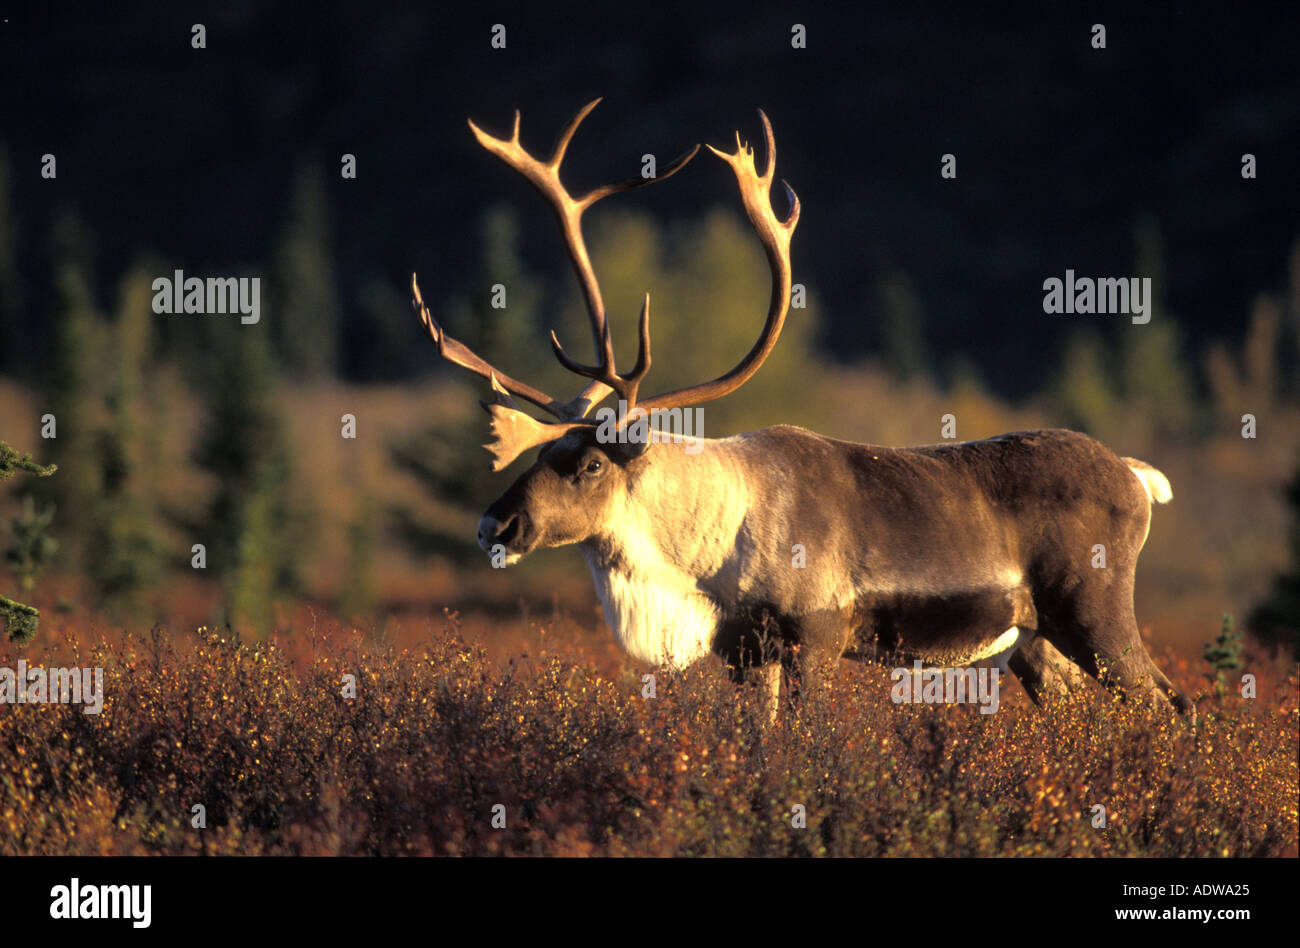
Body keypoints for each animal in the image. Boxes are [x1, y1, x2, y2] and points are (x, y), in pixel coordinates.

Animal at [410, 99, 1193, 723]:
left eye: (592, 464)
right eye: (544, 451)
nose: (492, 526)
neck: (705, 548)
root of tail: (1137, 475)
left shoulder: (816, 636)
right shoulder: (744, 653)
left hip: (1093, 611)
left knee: (1173, 704)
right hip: (1032, 643)